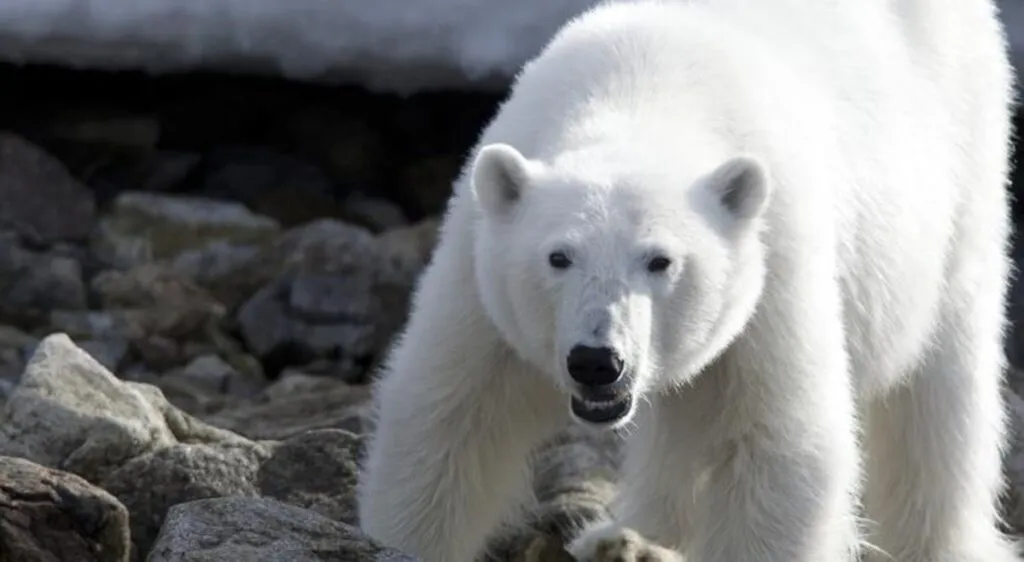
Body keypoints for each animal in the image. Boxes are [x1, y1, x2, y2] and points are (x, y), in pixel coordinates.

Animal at [357, 0, 1020, 561]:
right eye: (558, 257)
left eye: (660, 261)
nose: (598, 362)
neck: (642, 91)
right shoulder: (481, 265)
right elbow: (451, 414)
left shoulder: (772, 265)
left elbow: (776, 444)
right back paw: (625, 536)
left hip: (961, 173)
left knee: (938, 388)